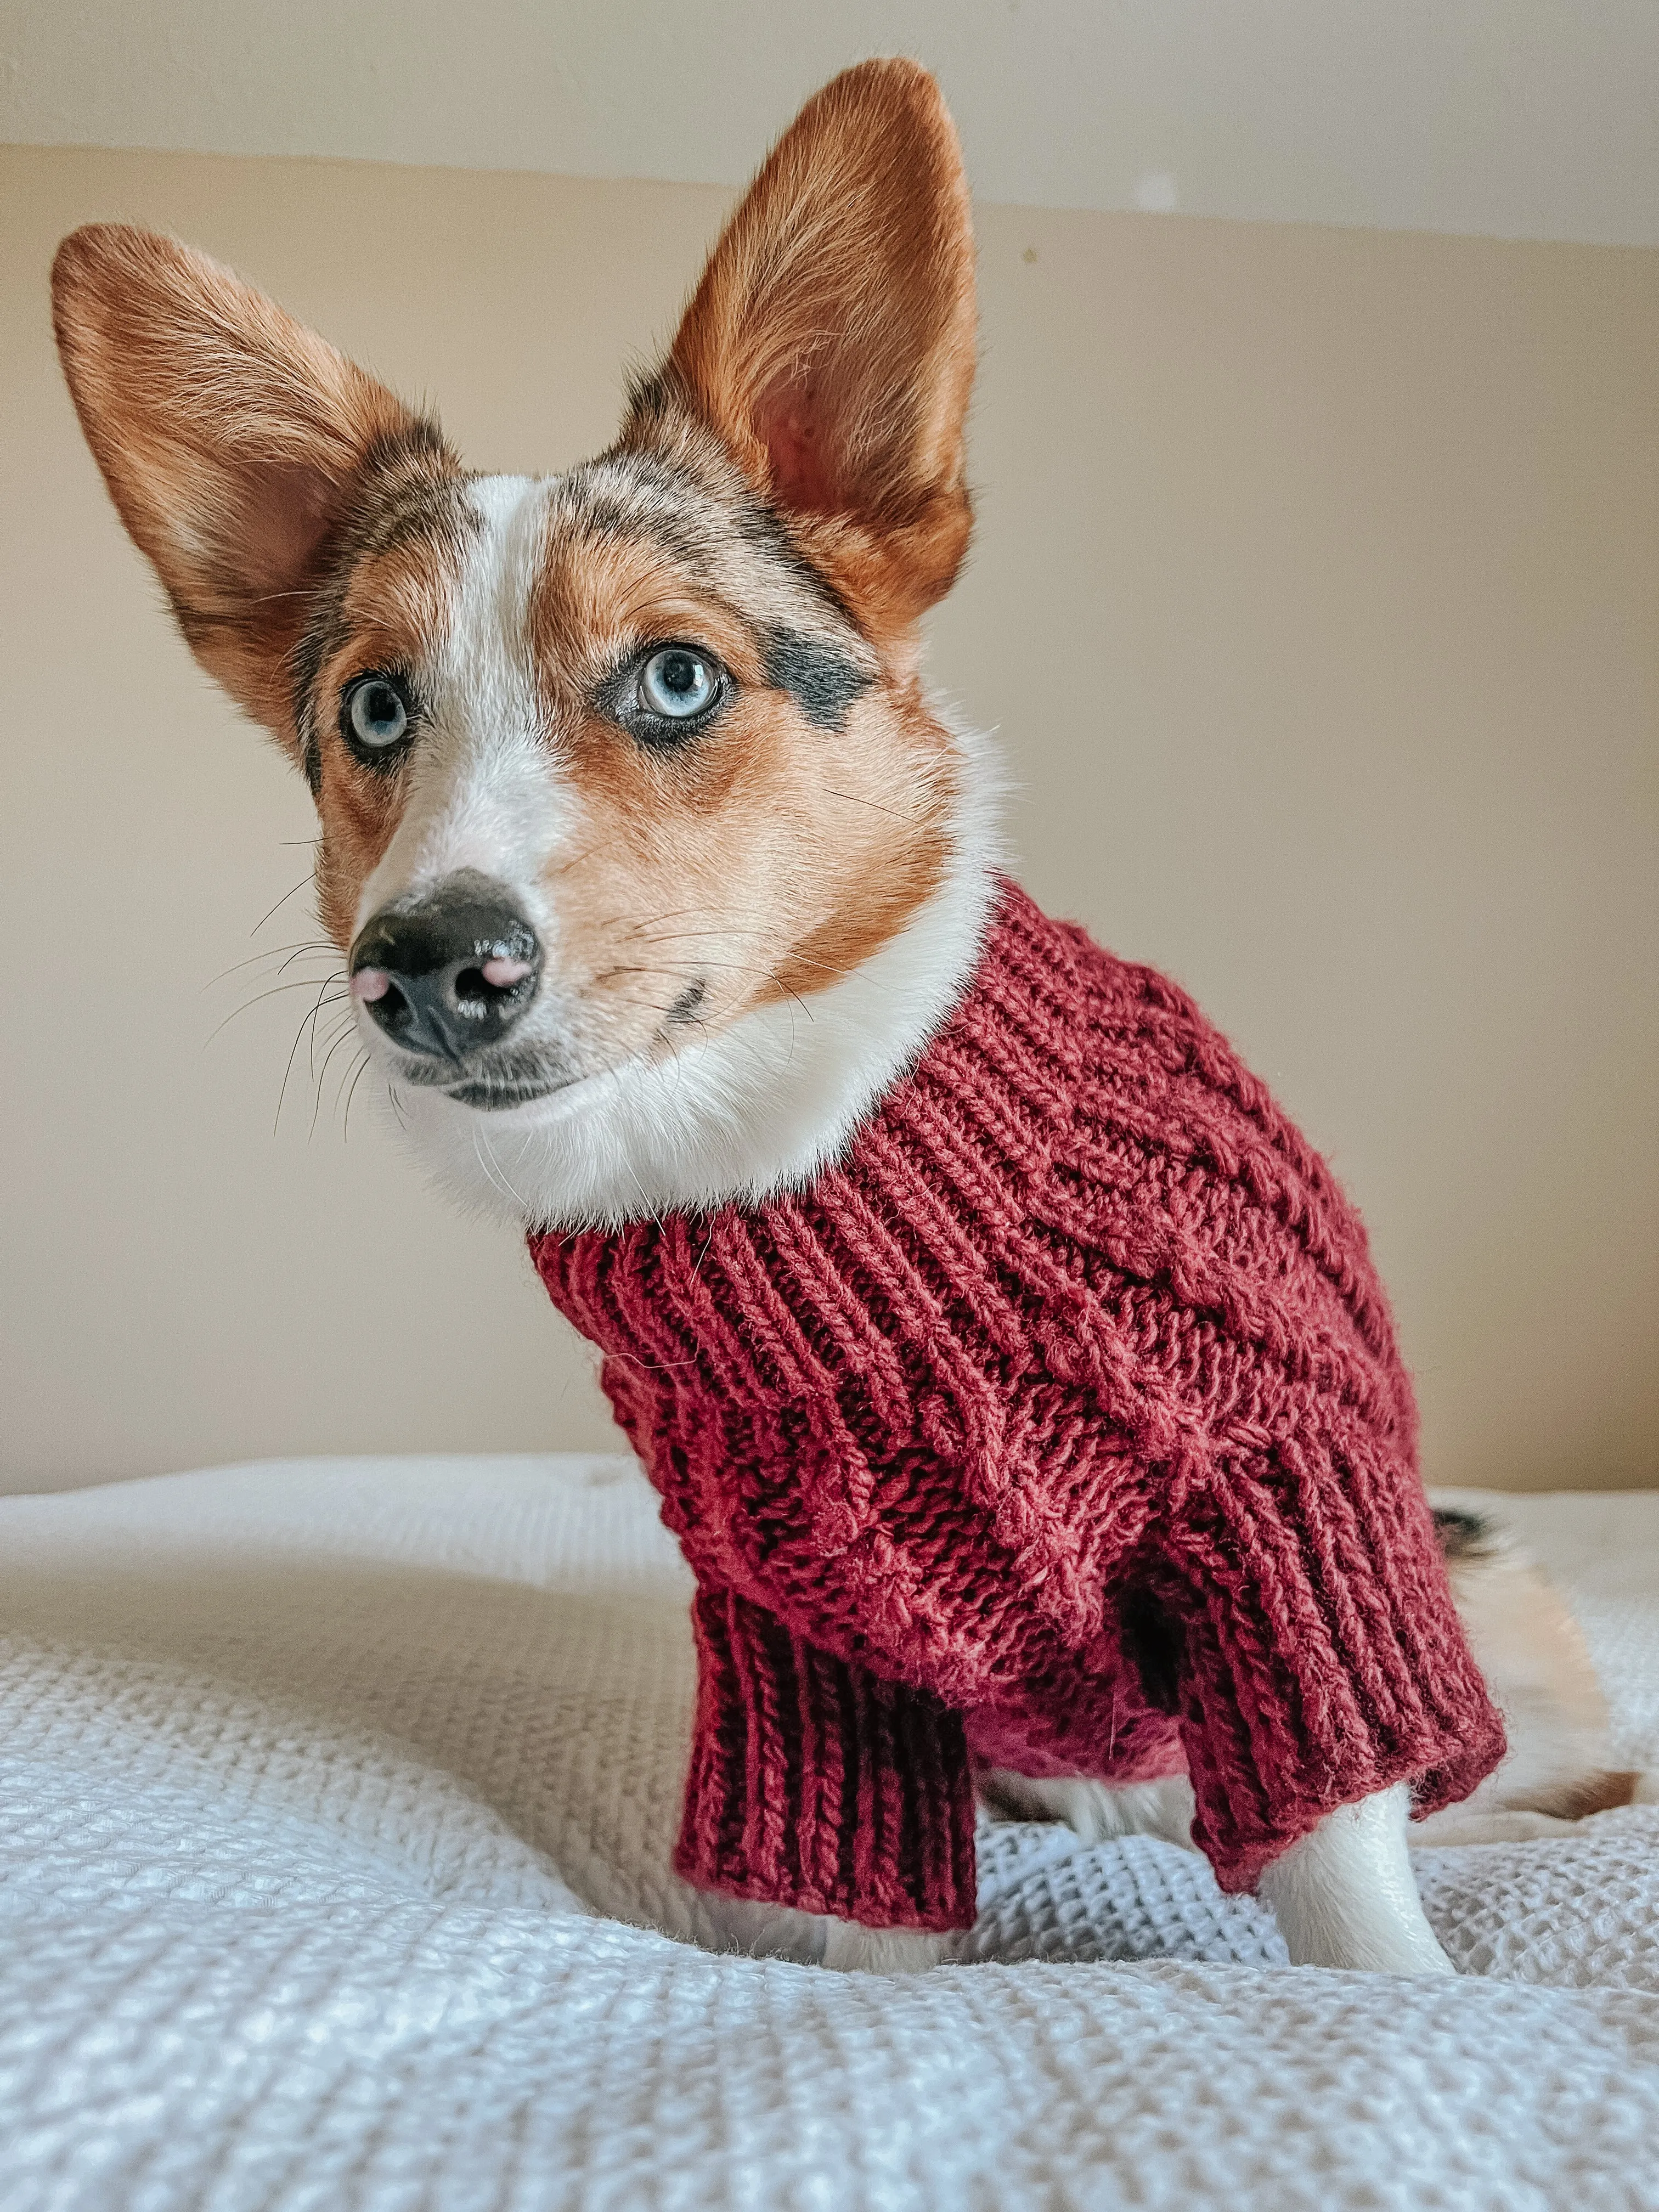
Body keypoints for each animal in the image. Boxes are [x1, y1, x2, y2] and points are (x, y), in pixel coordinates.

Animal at [45, 56, 1645, 1973]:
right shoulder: (803, 1638)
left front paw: (1398, 1996)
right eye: (372, 710)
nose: (425, 966)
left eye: (676, 677)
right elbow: (868, 1929)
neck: (784, 1157)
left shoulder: (1274, 1516)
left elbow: (1346, 1878)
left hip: (1470, 1604)